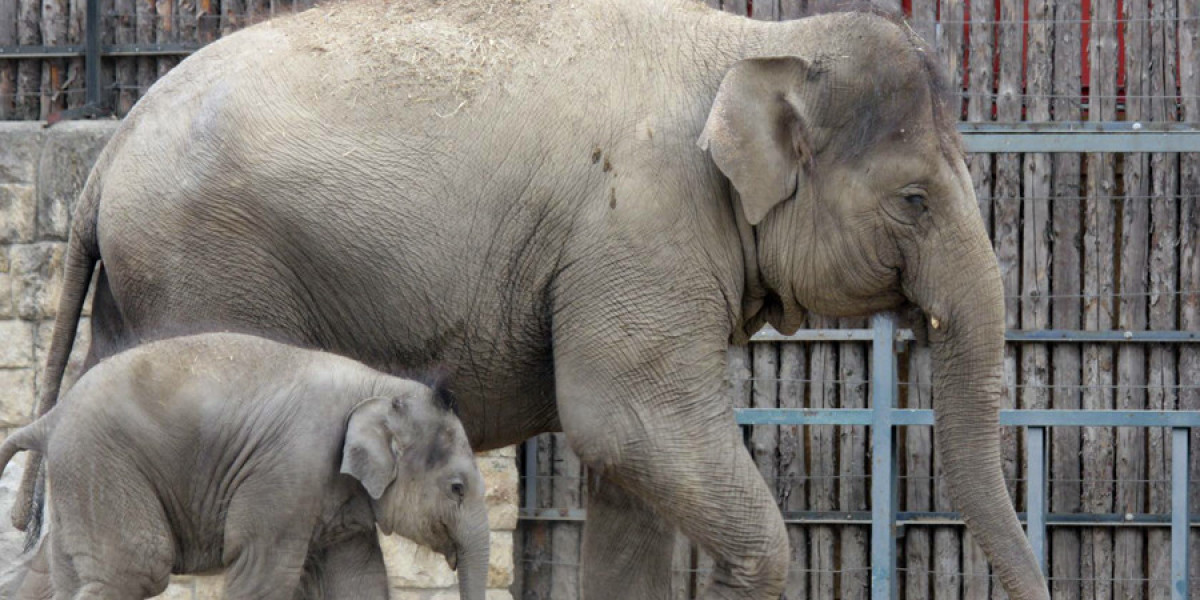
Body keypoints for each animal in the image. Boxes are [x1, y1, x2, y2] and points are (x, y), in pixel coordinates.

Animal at [1, 333, 487, 600]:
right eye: (457, 488)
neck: (380, 384)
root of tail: (50, 418)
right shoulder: (289, 469)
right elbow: (261, 575)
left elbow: (357, 582)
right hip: (103, 462)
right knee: (136, 566)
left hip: (80, 474)